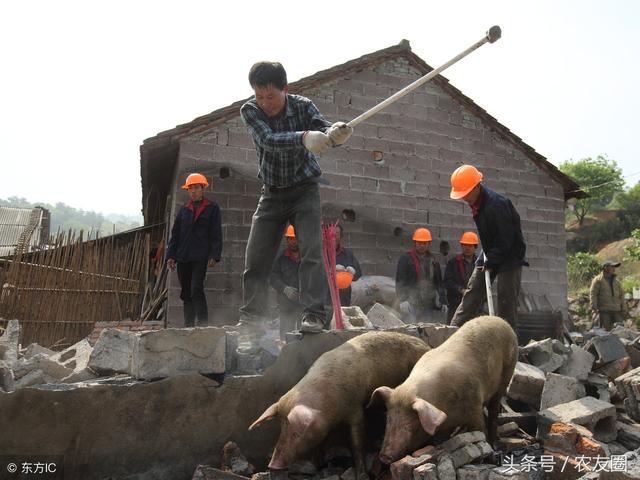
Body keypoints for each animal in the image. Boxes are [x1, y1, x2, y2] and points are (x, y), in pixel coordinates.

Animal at [249, 332, 430, 478]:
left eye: (296, 433)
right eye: (281, 427)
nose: (273, 465)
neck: (329, 408)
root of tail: (426, 345)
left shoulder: (355, 408)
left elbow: (357, 442)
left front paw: (362, 475)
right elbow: (322, 442)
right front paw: (316, 464)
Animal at [370, 316, 520, 464]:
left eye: (409, 425)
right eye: (388, 420)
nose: (384, 456)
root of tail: (498, 319)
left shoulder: (474, 405)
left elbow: (480, 430)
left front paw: (490, 459)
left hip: (507, 371)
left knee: (494, 410)